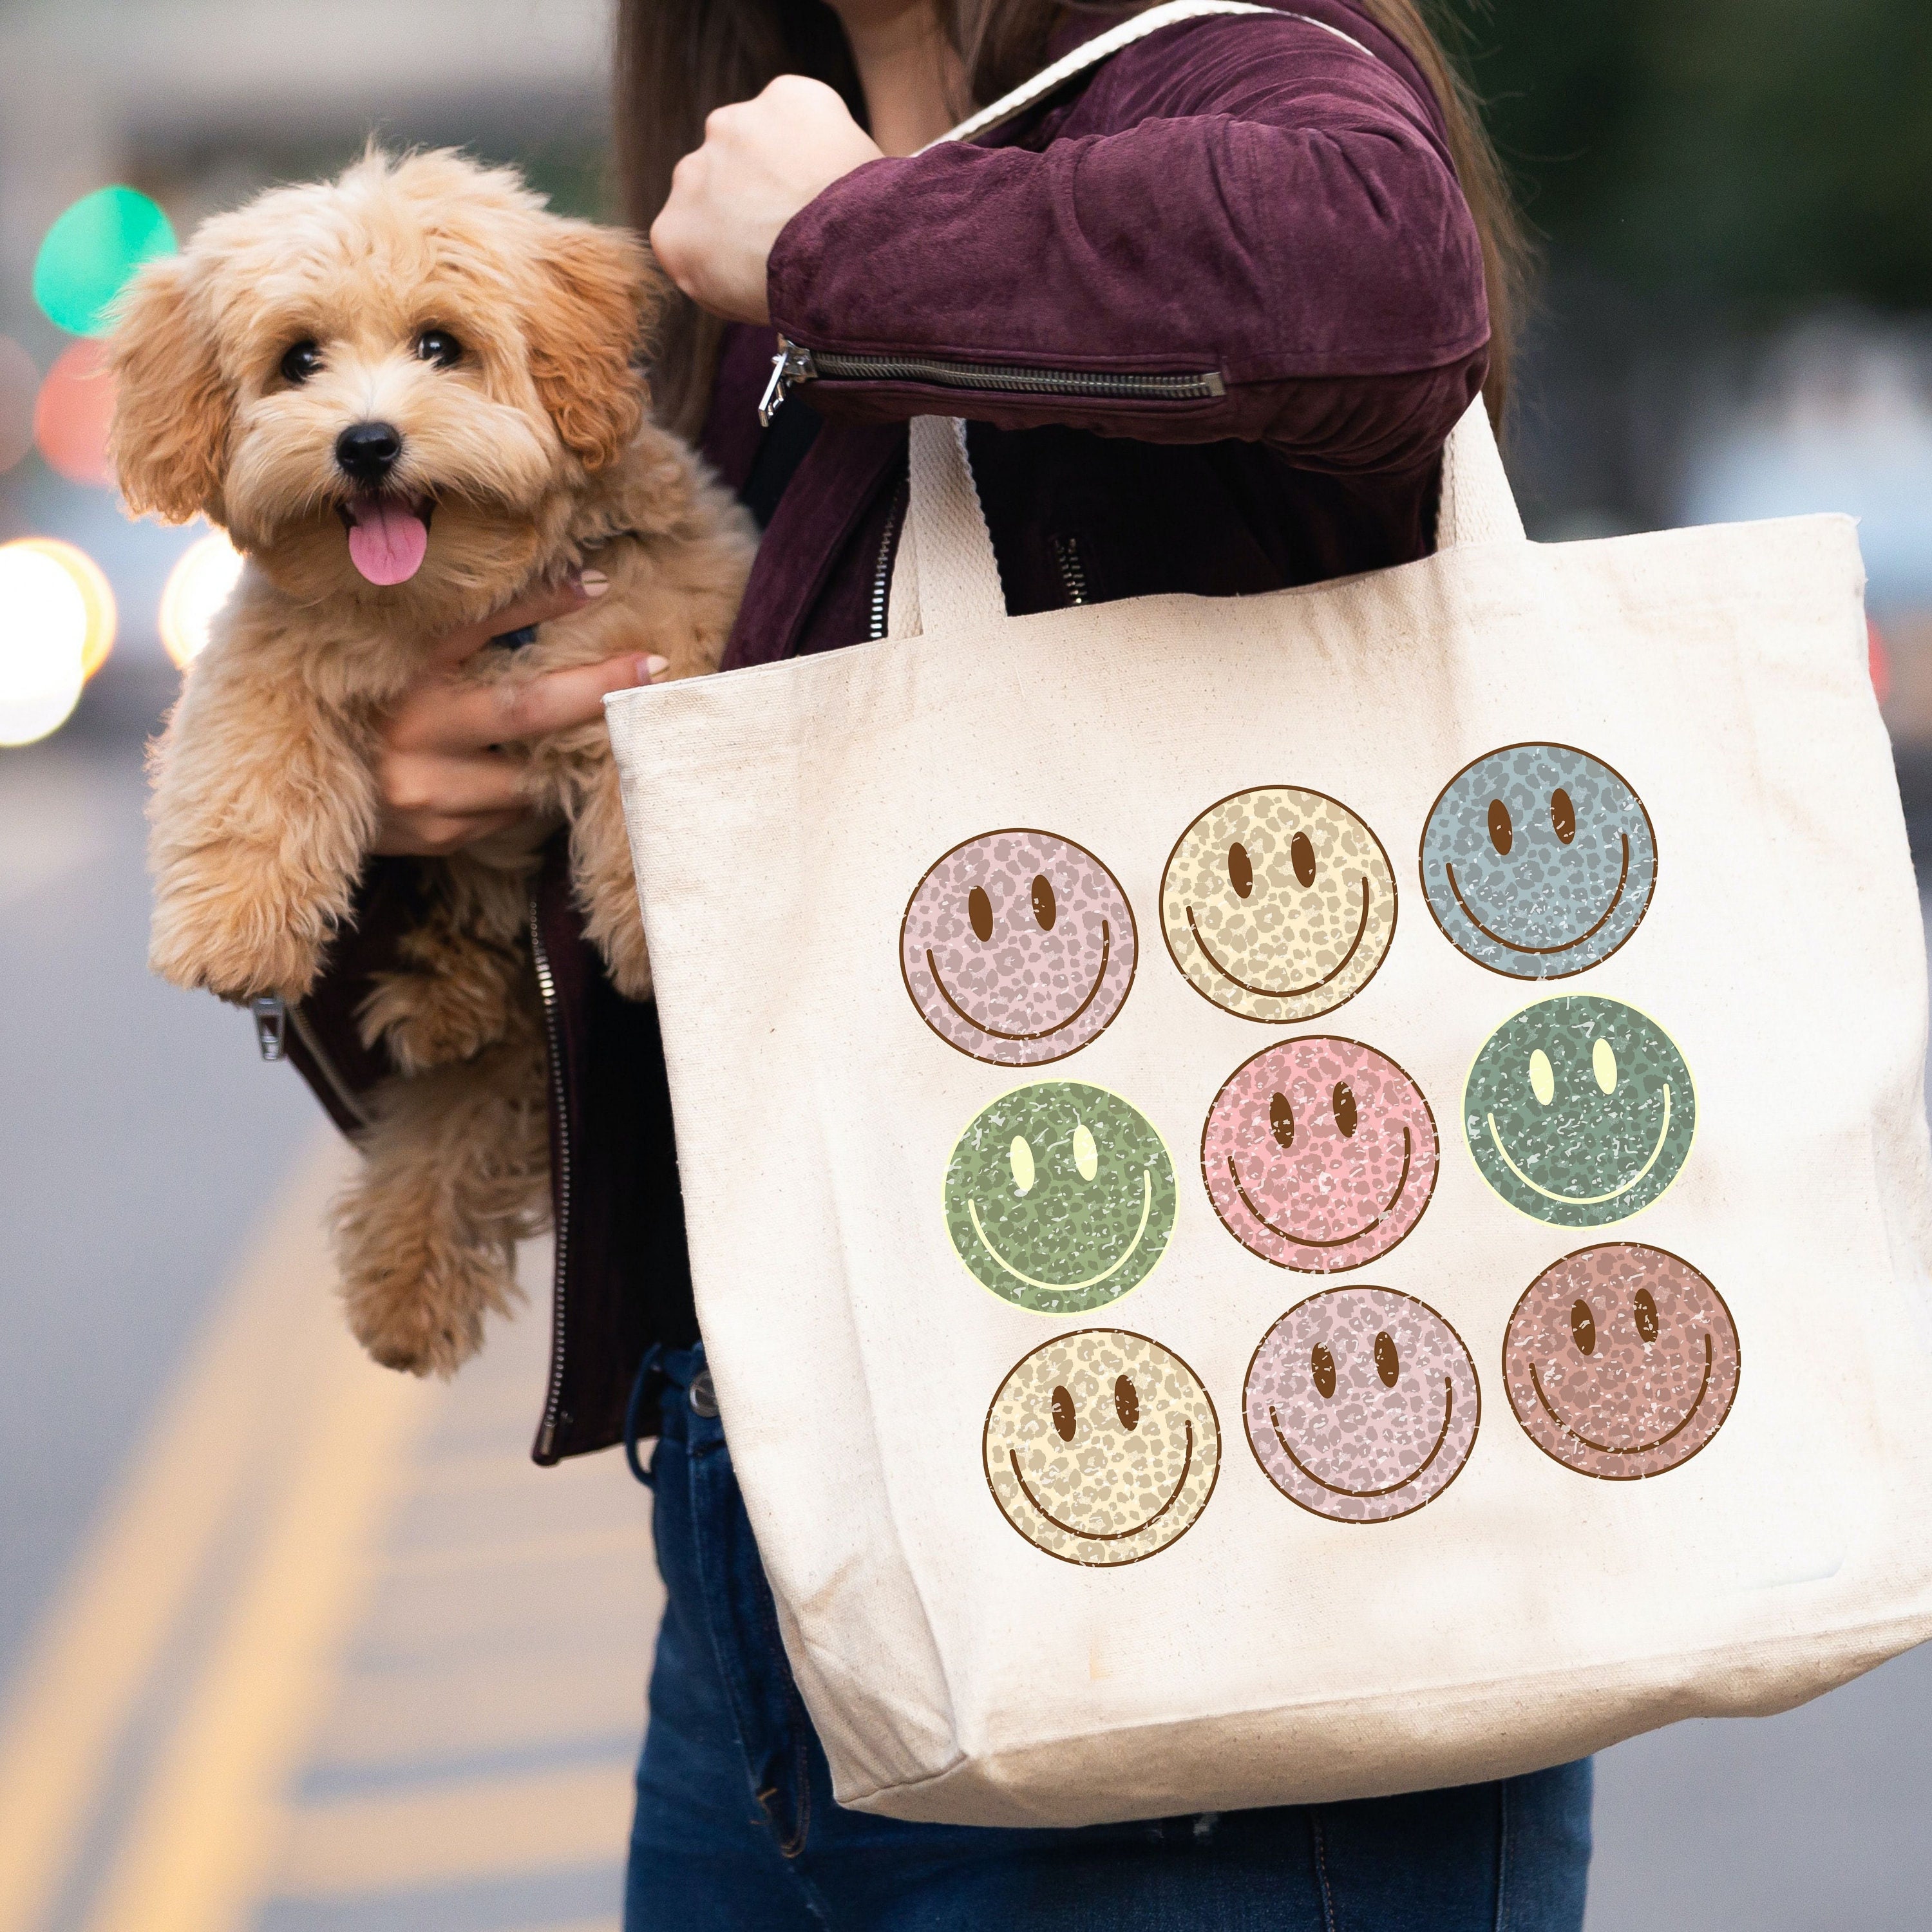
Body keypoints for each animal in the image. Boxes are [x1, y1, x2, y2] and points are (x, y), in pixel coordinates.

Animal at [109, 155, 750, 1376]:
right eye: (298, 360)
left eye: (440, 344)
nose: (366, 443)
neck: (449, 601)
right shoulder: (271, 649)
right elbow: (248, 761)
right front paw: (231, 929)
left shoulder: (663, 611)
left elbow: (646, 747)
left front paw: (651, 925)